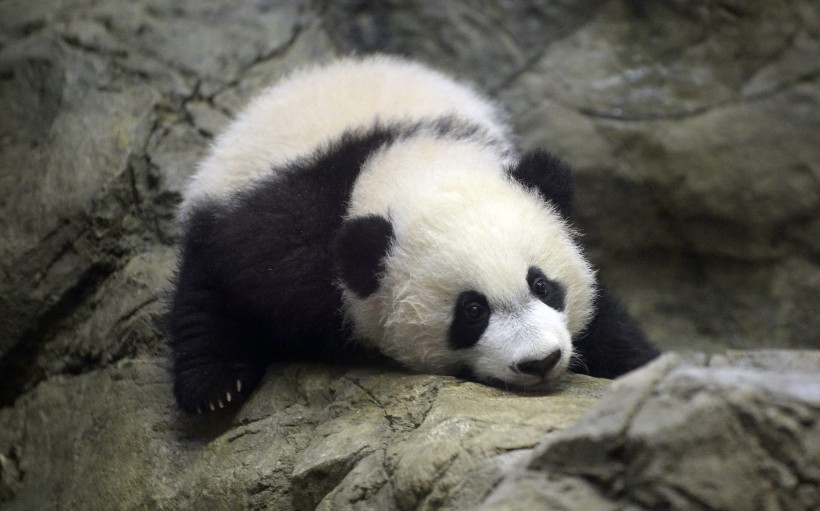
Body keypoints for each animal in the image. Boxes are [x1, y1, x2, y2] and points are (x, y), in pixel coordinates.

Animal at [168, 54, 660, 414]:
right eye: (472, 311)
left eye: (542, 285)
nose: (541, 362)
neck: (401, 158)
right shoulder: (280, 239)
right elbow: (229, 286)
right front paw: (214, 386)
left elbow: (607, 323)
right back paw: (215, 388)